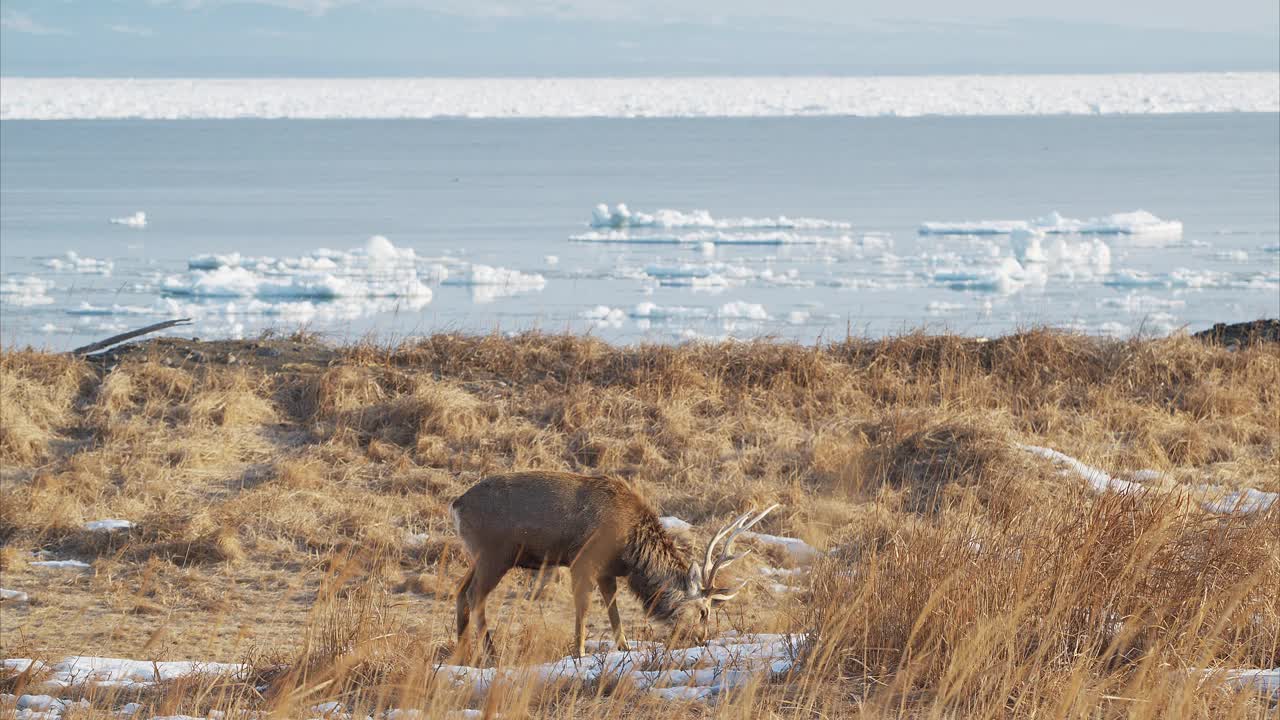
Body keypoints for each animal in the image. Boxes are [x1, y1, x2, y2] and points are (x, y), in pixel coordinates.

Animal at [450, 468, 773, 661]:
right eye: (704, 611)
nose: (702, 638)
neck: (631, 549)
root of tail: (456, 504)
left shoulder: (607, 571)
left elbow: (612, 605)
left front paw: (624, 647)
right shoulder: (583, 558)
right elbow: (584, 606)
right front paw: (579, 652)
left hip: (478, 556)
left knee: (460, 590)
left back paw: (462, 653)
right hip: (495, 553)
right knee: (475, 595)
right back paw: (491, 653)